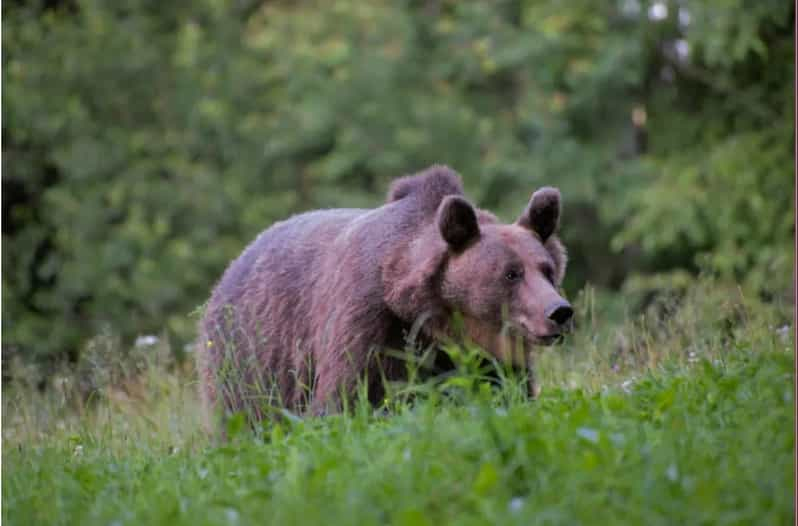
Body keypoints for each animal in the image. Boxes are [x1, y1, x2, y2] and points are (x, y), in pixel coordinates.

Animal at [200, 167, 576, 426]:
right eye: (511, 273)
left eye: (546, 269)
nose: (559, 312)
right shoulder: (368, 316)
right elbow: (345, 395)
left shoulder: (489, 358)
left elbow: (506, 391)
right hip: (249, 355)